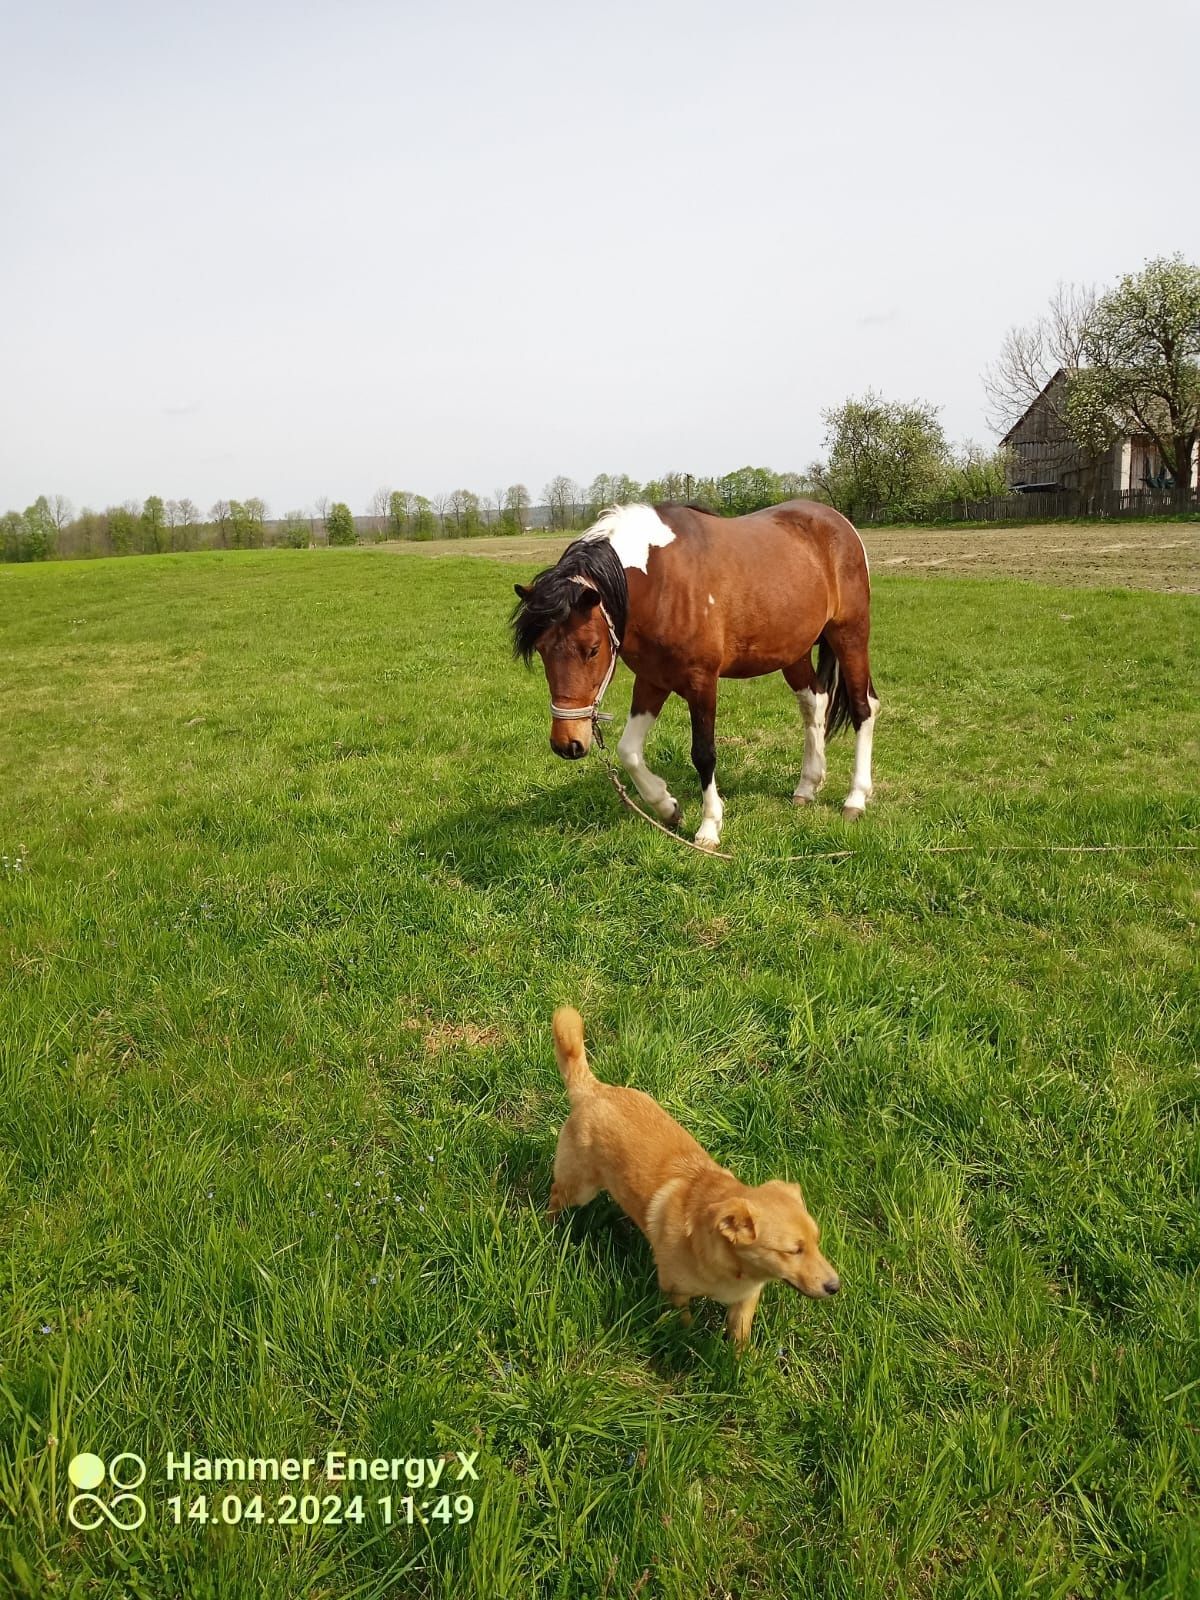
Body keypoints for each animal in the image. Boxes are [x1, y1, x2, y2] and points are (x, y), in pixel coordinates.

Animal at [512, 499, 876, 851]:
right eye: (541, 649)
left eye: (592, 649)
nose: (567, 744)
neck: (661, 581)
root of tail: (839, 523)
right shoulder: (652, 680)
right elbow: (628, 751)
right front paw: (666, 806)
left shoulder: (702, 682)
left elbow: (703, 754)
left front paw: (709, 826)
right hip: (793, 651)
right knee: (814, 704)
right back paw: (807, 785)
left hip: (850, 636)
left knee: (864, 708)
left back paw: (856, 798)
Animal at [550, 1004, 838, 1344]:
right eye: (793, 1250)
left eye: (817, 1242)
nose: (835, 1286)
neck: (731, 1267)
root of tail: (593, 1089)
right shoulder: (675, 1291)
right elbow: (683, 1323)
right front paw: (685, 1341)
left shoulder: (745, 1301)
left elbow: (739, 1338)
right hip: (579, 1188)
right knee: (555, 1198)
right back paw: (550, 1231)